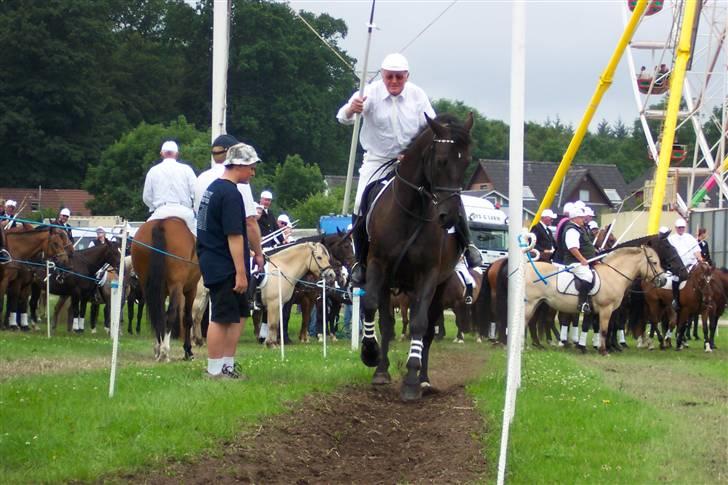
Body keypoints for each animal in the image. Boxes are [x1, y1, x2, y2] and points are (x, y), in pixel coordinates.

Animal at [132, 217, 200, 362]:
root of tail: (161, 224)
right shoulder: (191, 290)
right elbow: (187, 319)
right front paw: (188, 351)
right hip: (176, 286)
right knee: (171, 315)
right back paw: (165, 352)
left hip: (147, 286)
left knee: (156, 315)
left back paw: (159, 349)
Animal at [356, 111, 472, 398]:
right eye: (441, 160)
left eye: (466, 163)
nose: (450, 217)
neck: (410, 211)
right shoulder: (378, 267)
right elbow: (374, 310)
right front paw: (371, 355)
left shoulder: (428, 276)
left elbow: (420, 325)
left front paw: (411, 380)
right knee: (388, 322)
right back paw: (382, 369)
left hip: (440, 287)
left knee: (429, 330)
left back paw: (424, 379)